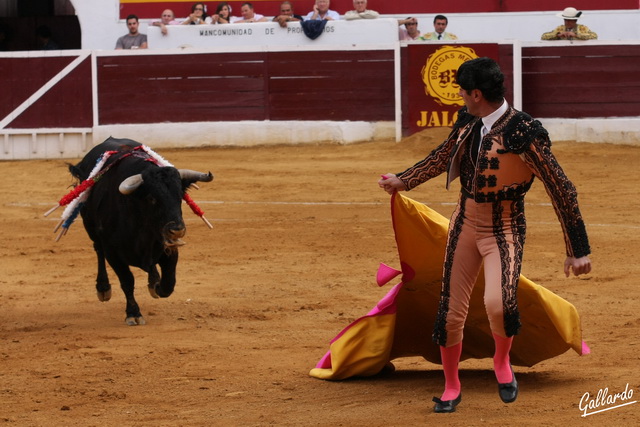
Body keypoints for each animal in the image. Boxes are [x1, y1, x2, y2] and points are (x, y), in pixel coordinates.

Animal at [69, 139, 214, 326]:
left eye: (179, 196)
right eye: (152, 198)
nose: (177, 230)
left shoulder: (169, 249)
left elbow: (168, 284)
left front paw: (156, 285)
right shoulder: (113, 253)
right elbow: (127, 281)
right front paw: (133, 313)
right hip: (91, 229)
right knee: (98, 250)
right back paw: (103, 288)